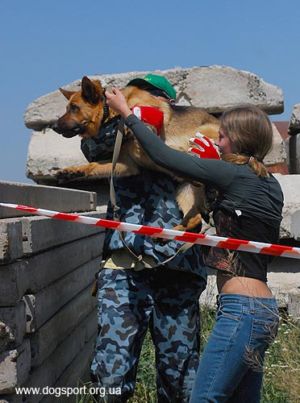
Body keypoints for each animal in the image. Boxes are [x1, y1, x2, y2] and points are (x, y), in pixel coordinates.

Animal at [52, 77, 219, 232]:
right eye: (68, 108)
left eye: (74, 108)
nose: (53, 127)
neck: (113, 116)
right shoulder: (127, 165)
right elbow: (93, 165)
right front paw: (71, 172)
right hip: (184, 191)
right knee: (195, 220)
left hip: (204, 132)